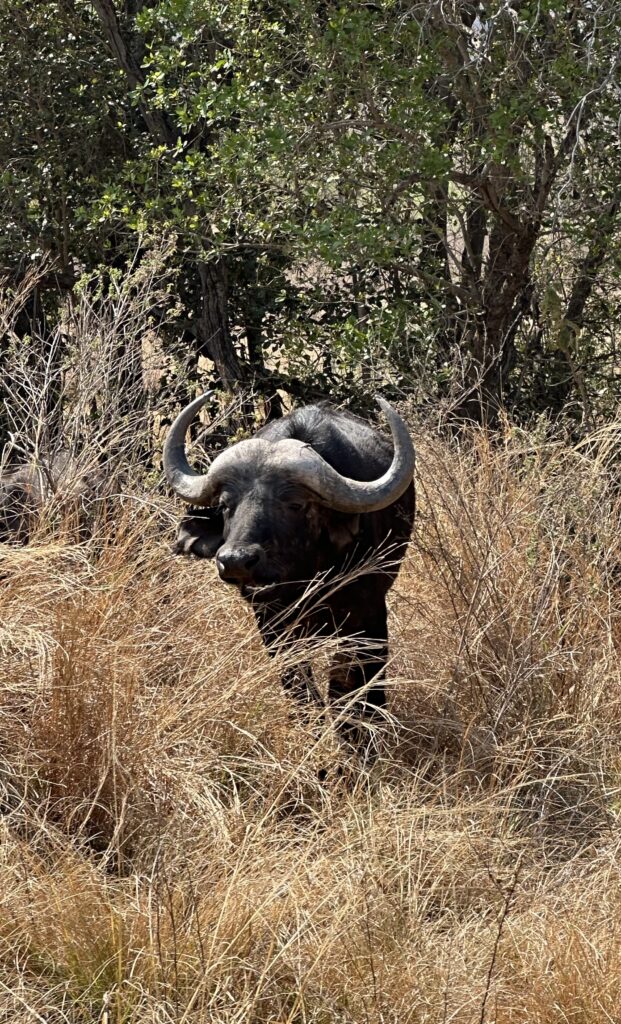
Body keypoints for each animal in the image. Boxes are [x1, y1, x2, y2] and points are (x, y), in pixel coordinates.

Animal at [164, 394, 415, 748]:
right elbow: (300, 687)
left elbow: (354, 686)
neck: (306, 578)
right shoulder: (273, 626)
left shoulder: (370, 617)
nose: (236, 560)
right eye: (226, 505)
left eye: (295, 504)